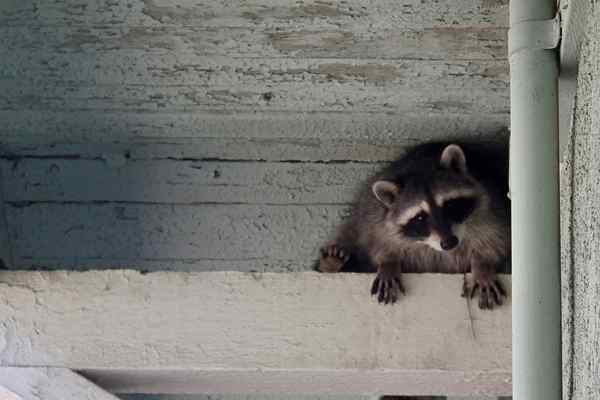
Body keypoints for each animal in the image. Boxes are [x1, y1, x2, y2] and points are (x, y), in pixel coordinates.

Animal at [316, 141, 508, 310]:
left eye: (449, 205)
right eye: (420, 217)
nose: (449, 243)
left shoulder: (491, 206)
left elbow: (495, 238)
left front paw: (483, 264)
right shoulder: (376, 216)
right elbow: (378, 239)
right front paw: (388, 261)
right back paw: (331, 262)